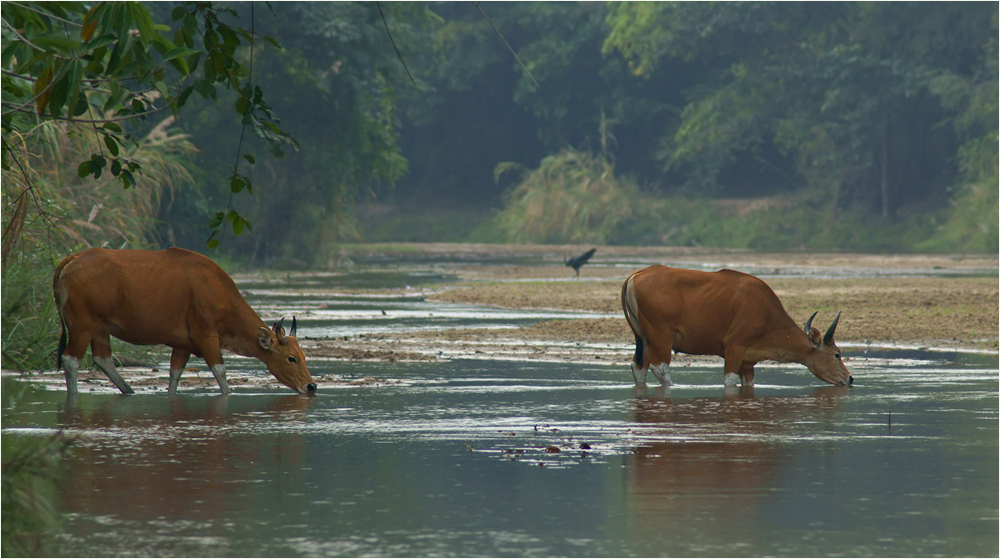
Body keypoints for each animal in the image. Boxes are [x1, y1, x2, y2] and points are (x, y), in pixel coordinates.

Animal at [51, 247, 316, 396]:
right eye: (291, 358)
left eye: (304, 355)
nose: (311, 387)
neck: (218, 291)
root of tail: (73, 258)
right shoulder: (206, 336)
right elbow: (220, 373)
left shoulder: (182, 345)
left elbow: (174, 376)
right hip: (83, 324)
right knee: (71, 360)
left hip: (100, 327)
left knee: (102, 359)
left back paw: (129, 390)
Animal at [620, 266, 848, 390]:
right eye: (837, 354)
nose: (849, 378)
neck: (766, 312)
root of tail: (635, 276)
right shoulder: (733, 348)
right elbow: (729, 382)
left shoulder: (747, 363)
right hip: (662, 337)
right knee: (659, 368)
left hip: (643, 339)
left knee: (638, 367)